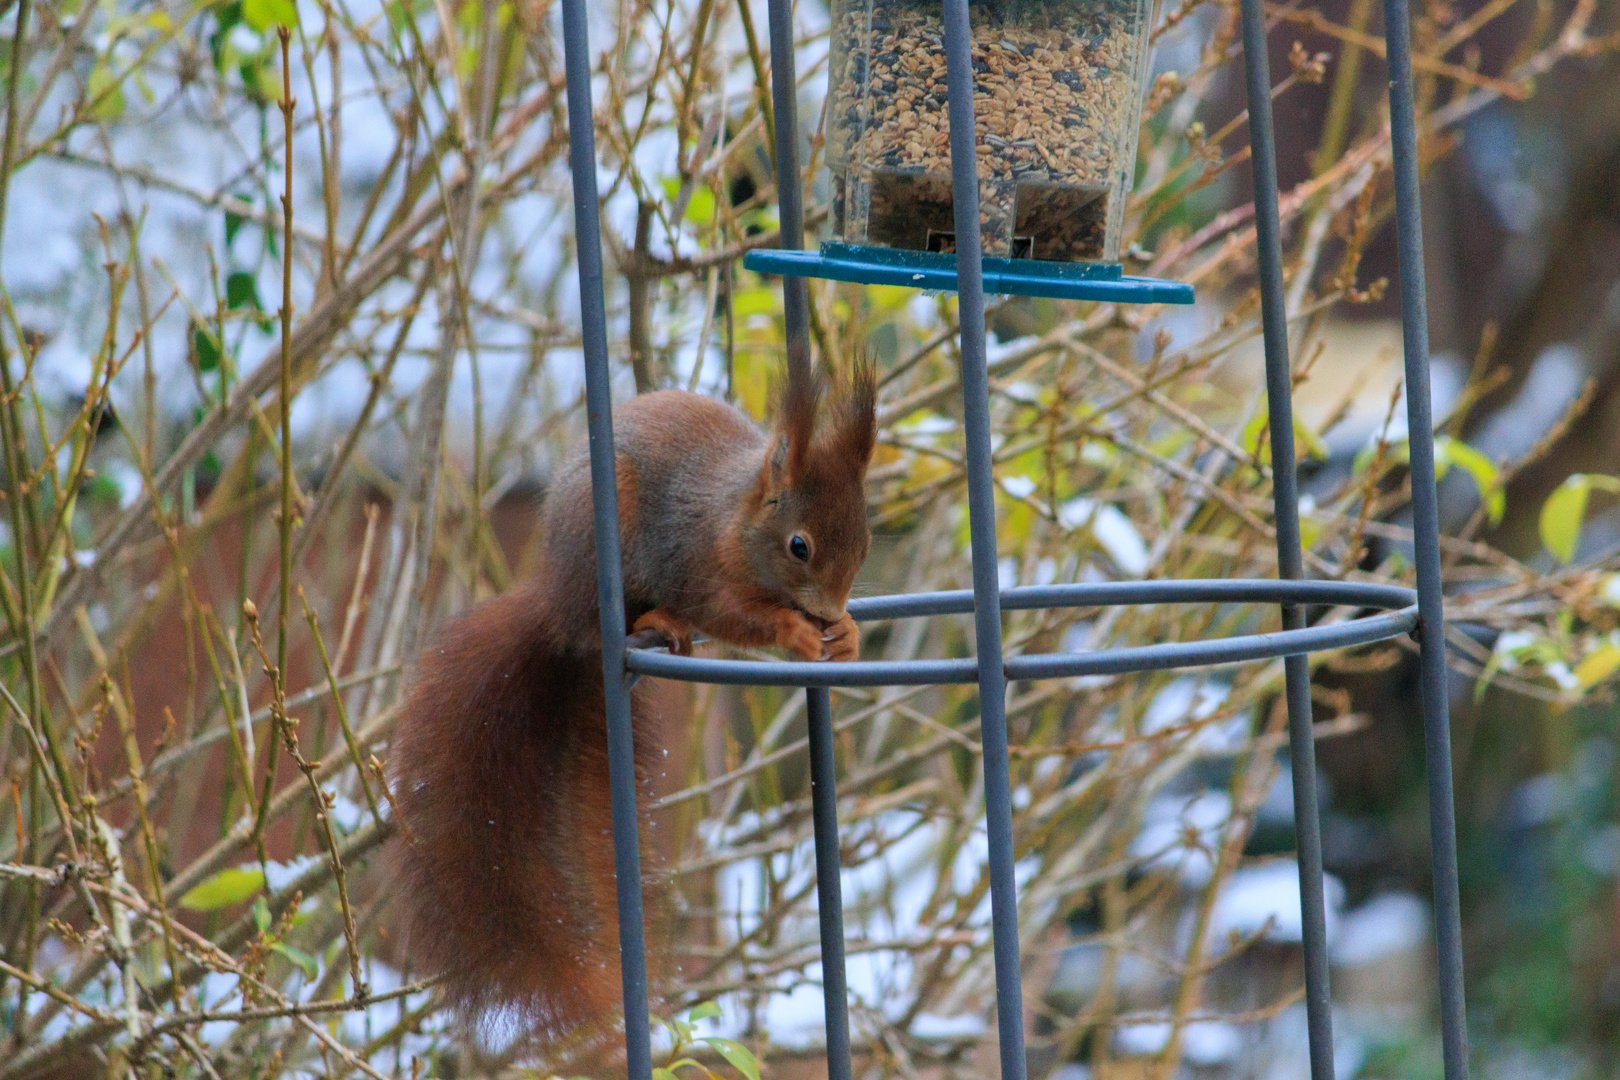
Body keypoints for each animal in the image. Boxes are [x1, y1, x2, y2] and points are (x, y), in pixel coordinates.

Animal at [390, 361, 874, 1049]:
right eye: (798, 546)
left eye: (866, 541)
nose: (830, 612)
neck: (735, 517)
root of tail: (556, 607)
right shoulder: (698, 561)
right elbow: (730, 613)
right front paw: (794, 631)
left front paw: (849, 632)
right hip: (603, 542)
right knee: (613, 620)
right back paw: (654, 619)